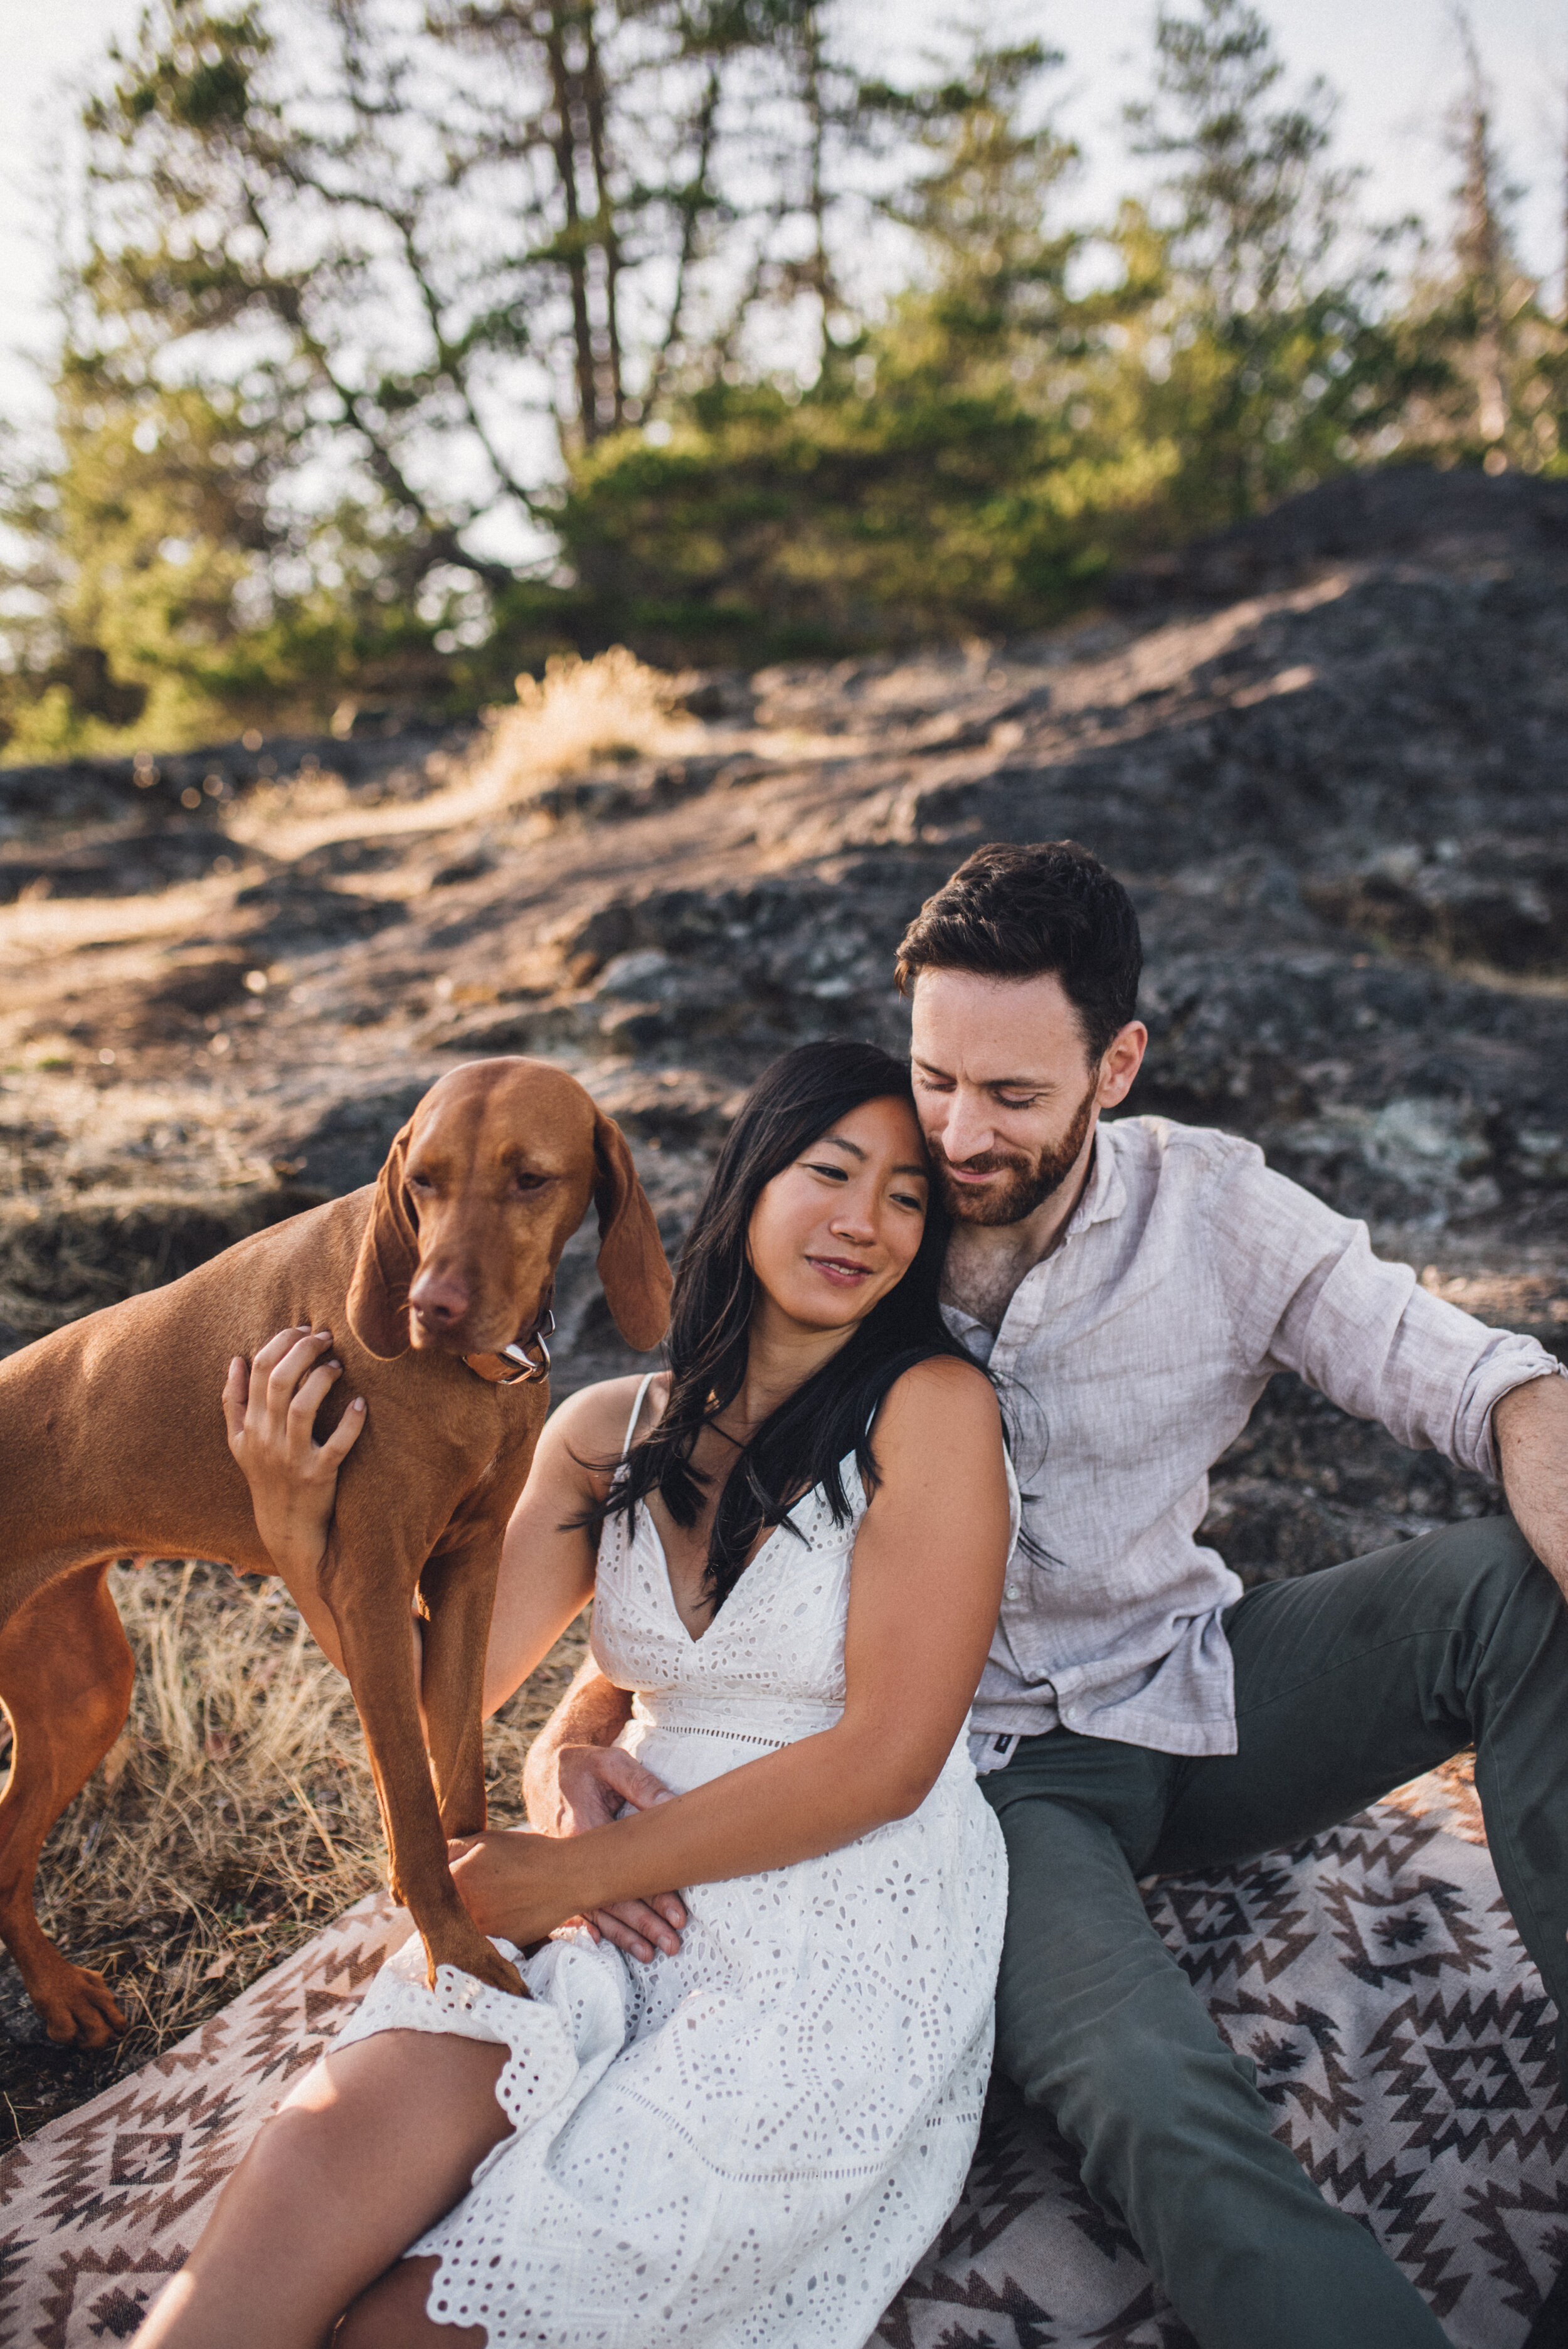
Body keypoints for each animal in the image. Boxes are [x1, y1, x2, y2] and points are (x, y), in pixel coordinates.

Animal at [0, 1057, 666, 2048]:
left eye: (531, 1178)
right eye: (423, 1180)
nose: (432, 1307)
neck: (469, 1379)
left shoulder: (466, 1573)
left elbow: (454, 1774)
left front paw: (486, 1893)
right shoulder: (372, 1591)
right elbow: (415, 1814)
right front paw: (461, 1963)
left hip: (83, 1692)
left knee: (7, 1855)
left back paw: (57, 1994)